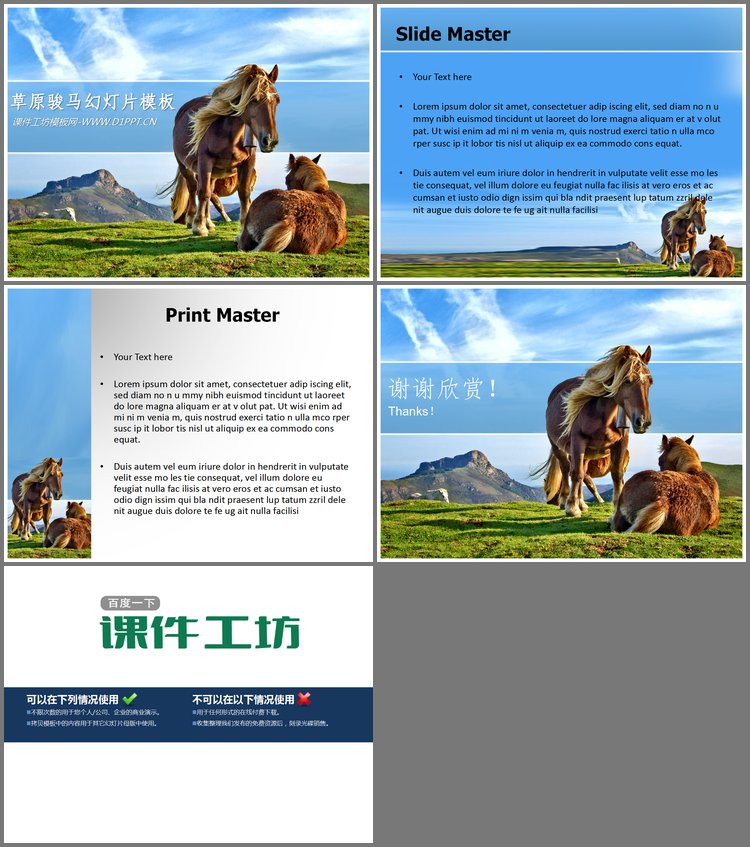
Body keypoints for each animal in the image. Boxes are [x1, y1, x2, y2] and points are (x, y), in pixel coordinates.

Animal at [158, 64, 279, 238]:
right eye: (254, 99)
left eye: (277, 100)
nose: (270, 141)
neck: (230, 135)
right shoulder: (204, 161)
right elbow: (203, 192)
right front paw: (199, 227)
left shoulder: (248, 162)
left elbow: (244, 195)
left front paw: (242, 230)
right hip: (185, 165)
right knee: (193, 188)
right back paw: (192, 220)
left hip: (215, 172)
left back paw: (208, 222)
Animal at [530, 346, 653, 518]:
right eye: (626, 380)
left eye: (650, 381)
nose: (643, 422)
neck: (603, 416)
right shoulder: (578, 442)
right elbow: (576, 473)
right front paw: (572, 508)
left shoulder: (621, 443)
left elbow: (616, 475)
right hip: (558, 447)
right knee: (566, 469)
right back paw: (565, 501)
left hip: (587, 453)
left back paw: (581, 503)